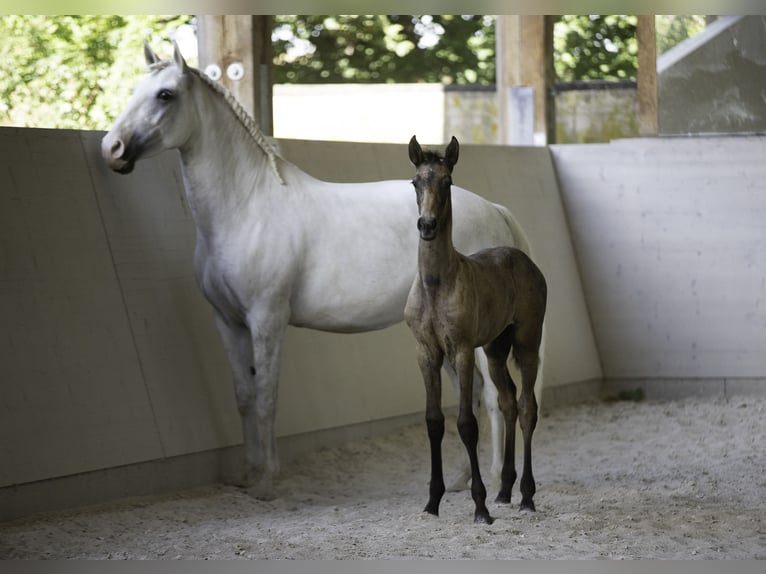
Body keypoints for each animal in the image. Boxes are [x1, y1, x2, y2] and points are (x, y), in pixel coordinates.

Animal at [100, 42, 536, 502]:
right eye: (134, 89)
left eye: (165, 94)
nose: (112, 148)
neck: (248, 206)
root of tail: (495, 210)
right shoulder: (228, 321)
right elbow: (244, 398)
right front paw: (249, 475)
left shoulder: (267, 319)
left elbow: (266, 398)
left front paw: (267, 483)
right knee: (470, 394)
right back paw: (459, 479)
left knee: (494, 398)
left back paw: (494, 481)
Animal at [404, 136, 548, 528]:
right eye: (415, 182)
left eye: (447, 182)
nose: (427, 225)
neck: (436, 284)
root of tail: (524, 258)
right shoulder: (426, 353)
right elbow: (434, 422)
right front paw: (432, 502)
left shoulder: (462, 351)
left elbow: (467, 423)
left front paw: (480, 507)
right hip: (496, 350)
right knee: (508, 401)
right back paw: (505, 491)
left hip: (526, 343)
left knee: (527, 406)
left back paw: (526, 496)